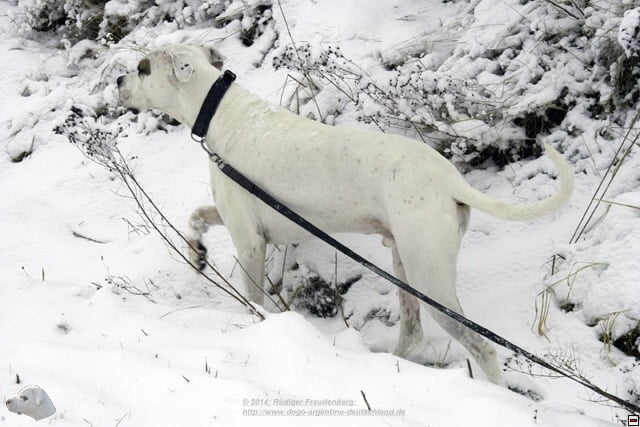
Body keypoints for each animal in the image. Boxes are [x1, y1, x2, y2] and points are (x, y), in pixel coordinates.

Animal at [117, 43, 572, 384]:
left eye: (142, 68)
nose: (119, 80)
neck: (219, 113)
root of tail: (450, 179)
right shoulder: (232, 216)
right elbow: (195, 216)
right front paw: (196, 252)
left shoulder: (249, 241)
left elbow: (252, 301)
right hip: (406, 265)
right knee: (412, 330)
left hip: (429, 276)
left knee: (482, 346)